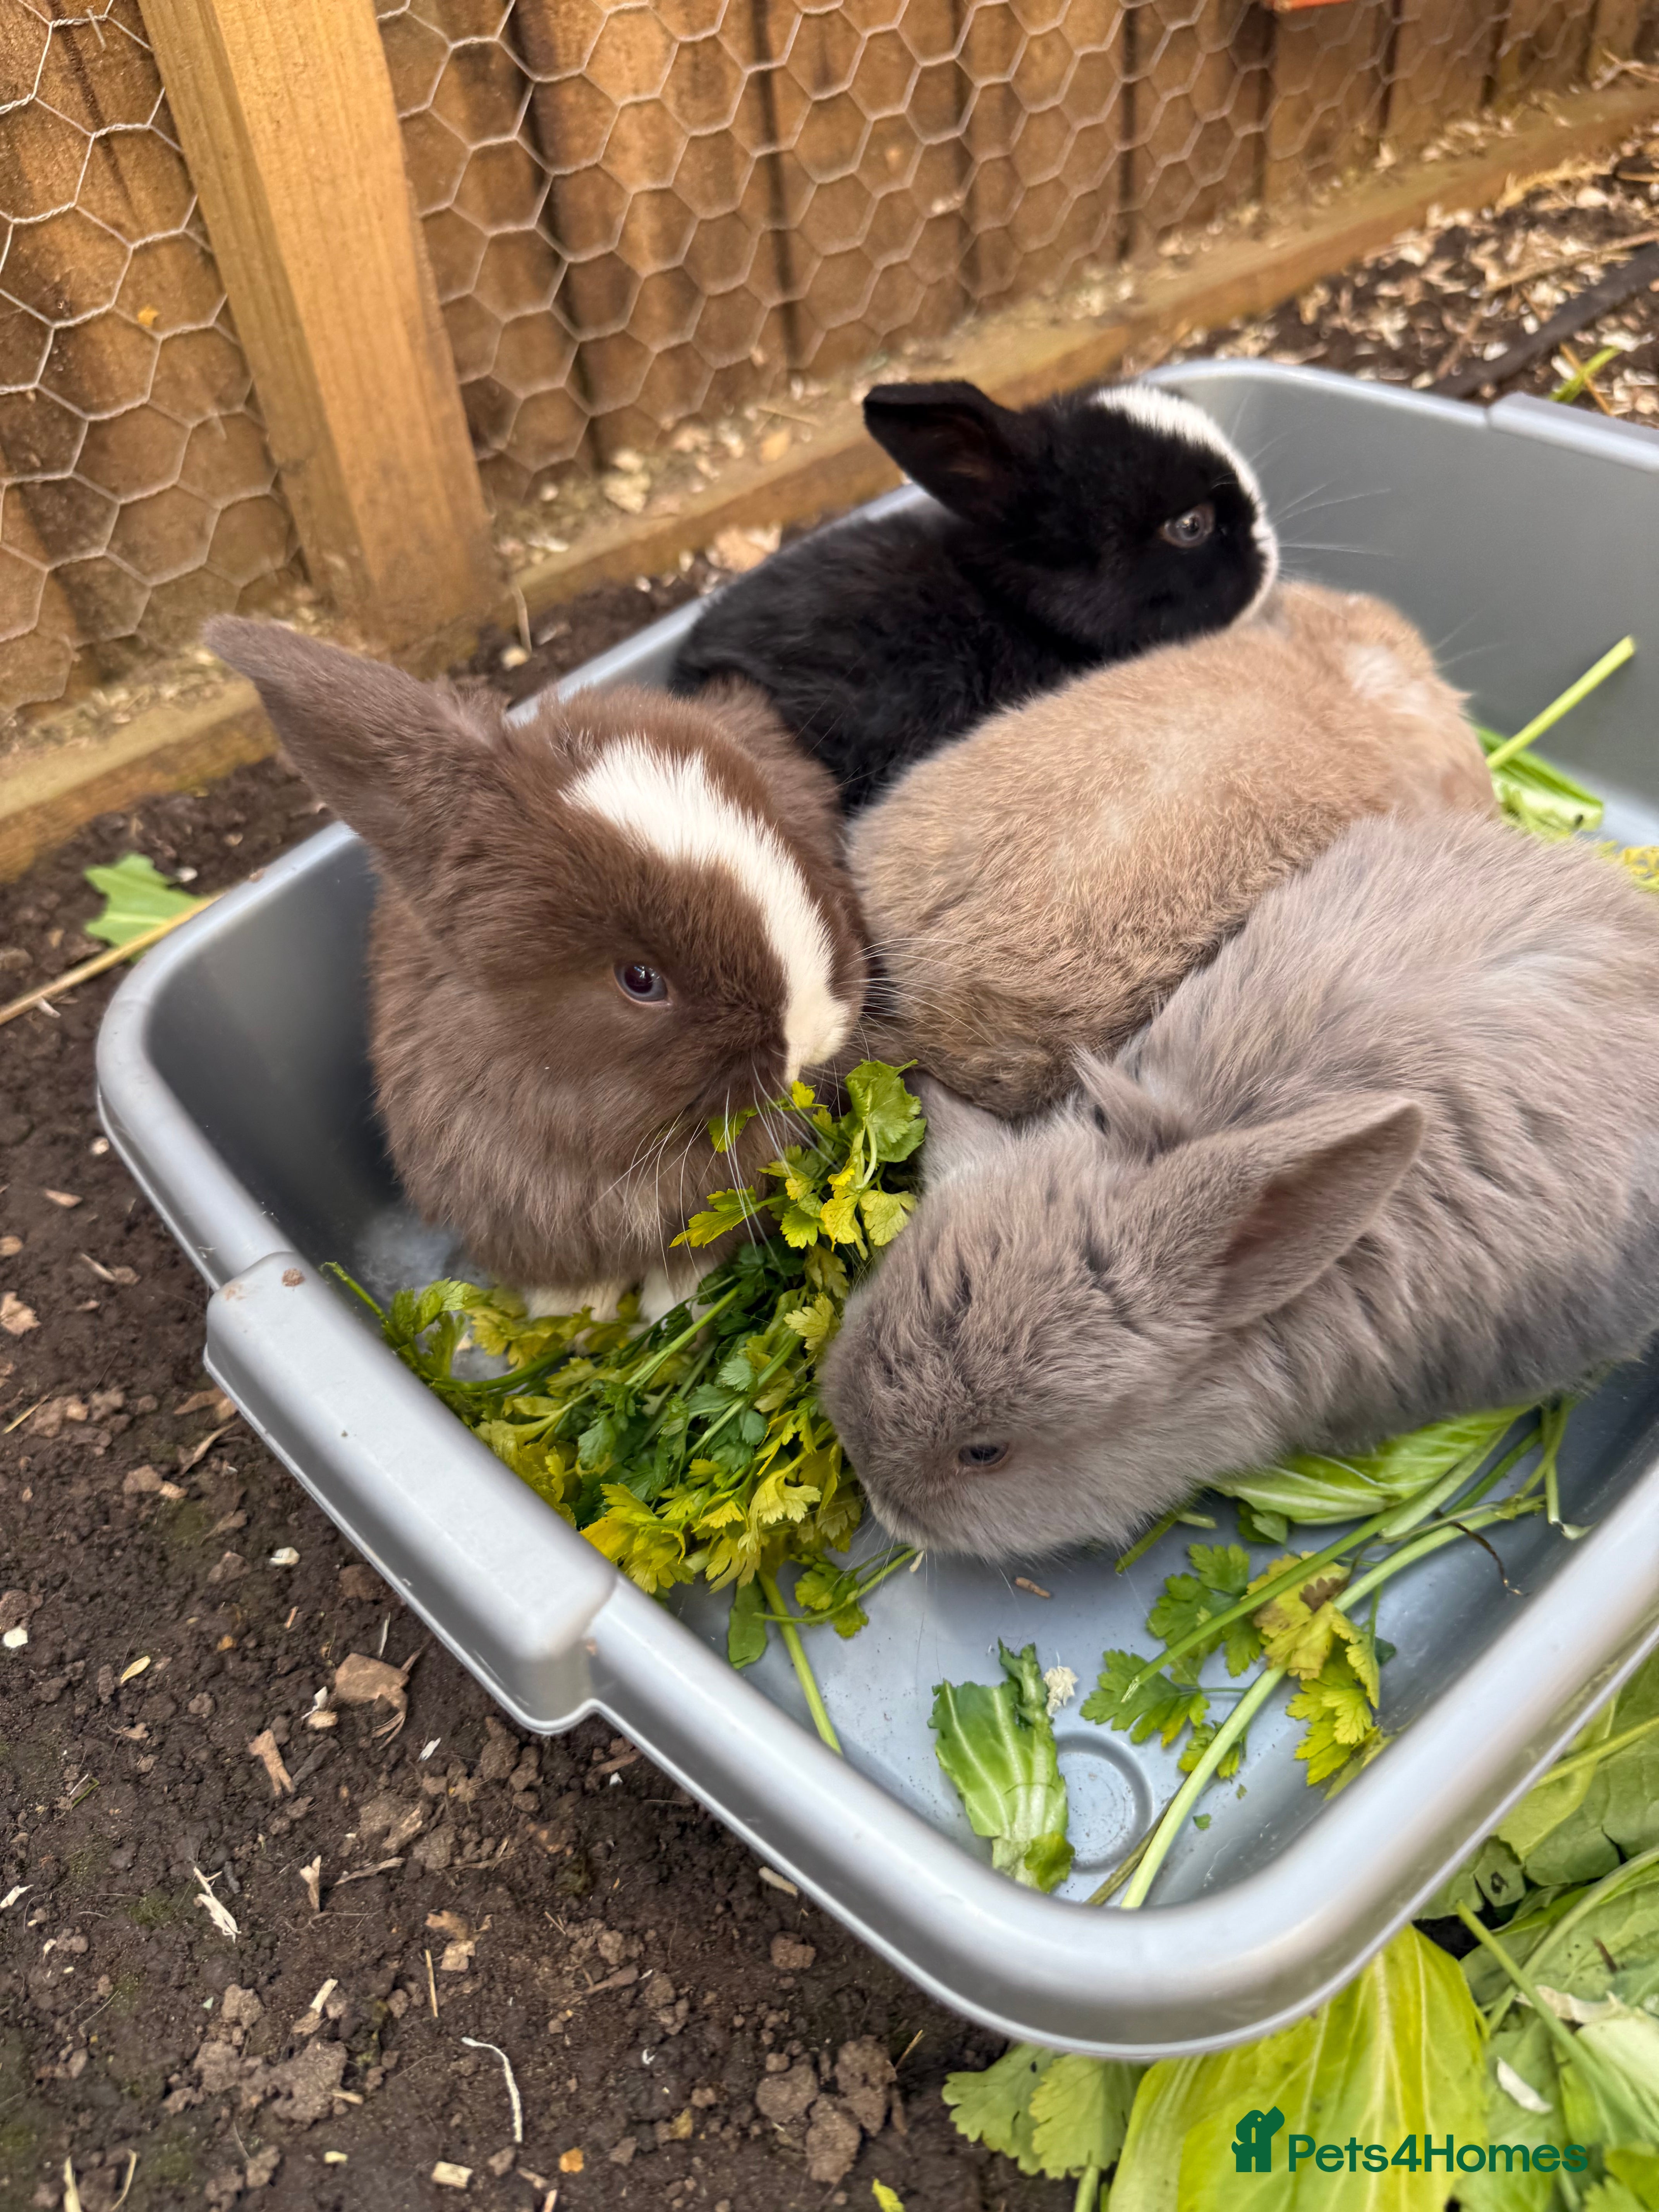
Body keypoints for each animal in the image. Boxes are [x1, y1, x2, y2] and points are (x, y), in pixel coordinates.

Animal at [204, 618, 867, 1322]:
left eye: (793, 850)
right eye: (639, 979)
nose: (814, 1036)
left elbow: (687, 1268)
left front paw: (670, 1314)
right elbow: (569, 1292)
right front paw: (575, 1325)